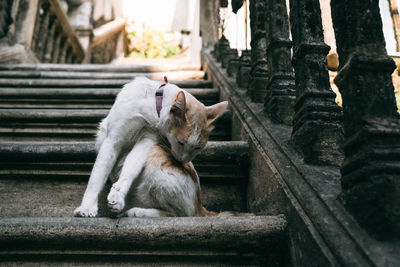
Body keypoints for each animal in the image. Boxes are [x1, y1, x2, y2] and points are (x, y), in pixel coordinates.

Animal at [73, 77, 227, 218]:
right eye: (181, 143)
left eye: (198, 148)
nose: (182, 162)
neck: (152, 108)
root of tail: (200, 206)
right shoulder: (113, 140)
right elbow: (97, 177)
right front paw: (87, 207)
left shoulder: (147, 140)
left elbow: (130, 169)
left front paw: (117, 196)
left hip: (156, 152)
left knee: (178, 214)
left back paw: (135, 212)